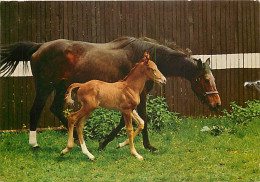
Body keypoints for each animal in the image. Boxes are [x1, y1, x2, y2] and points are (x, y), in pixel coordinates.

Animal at [0, 36, 221, 151]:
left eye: (213, 78)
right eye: (205, 79)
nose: (217, 103)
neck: (141, 58)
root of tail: (40, 47)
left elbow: (134, 121)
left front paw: (115, 143)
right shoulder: (136, 95)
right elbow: (139, 119)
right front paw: (143, 145)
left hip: (63, 87)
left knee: (57, 110)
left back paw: (79, 138)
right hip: (45, 86)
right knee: (36, 110)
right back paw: (35, 144)